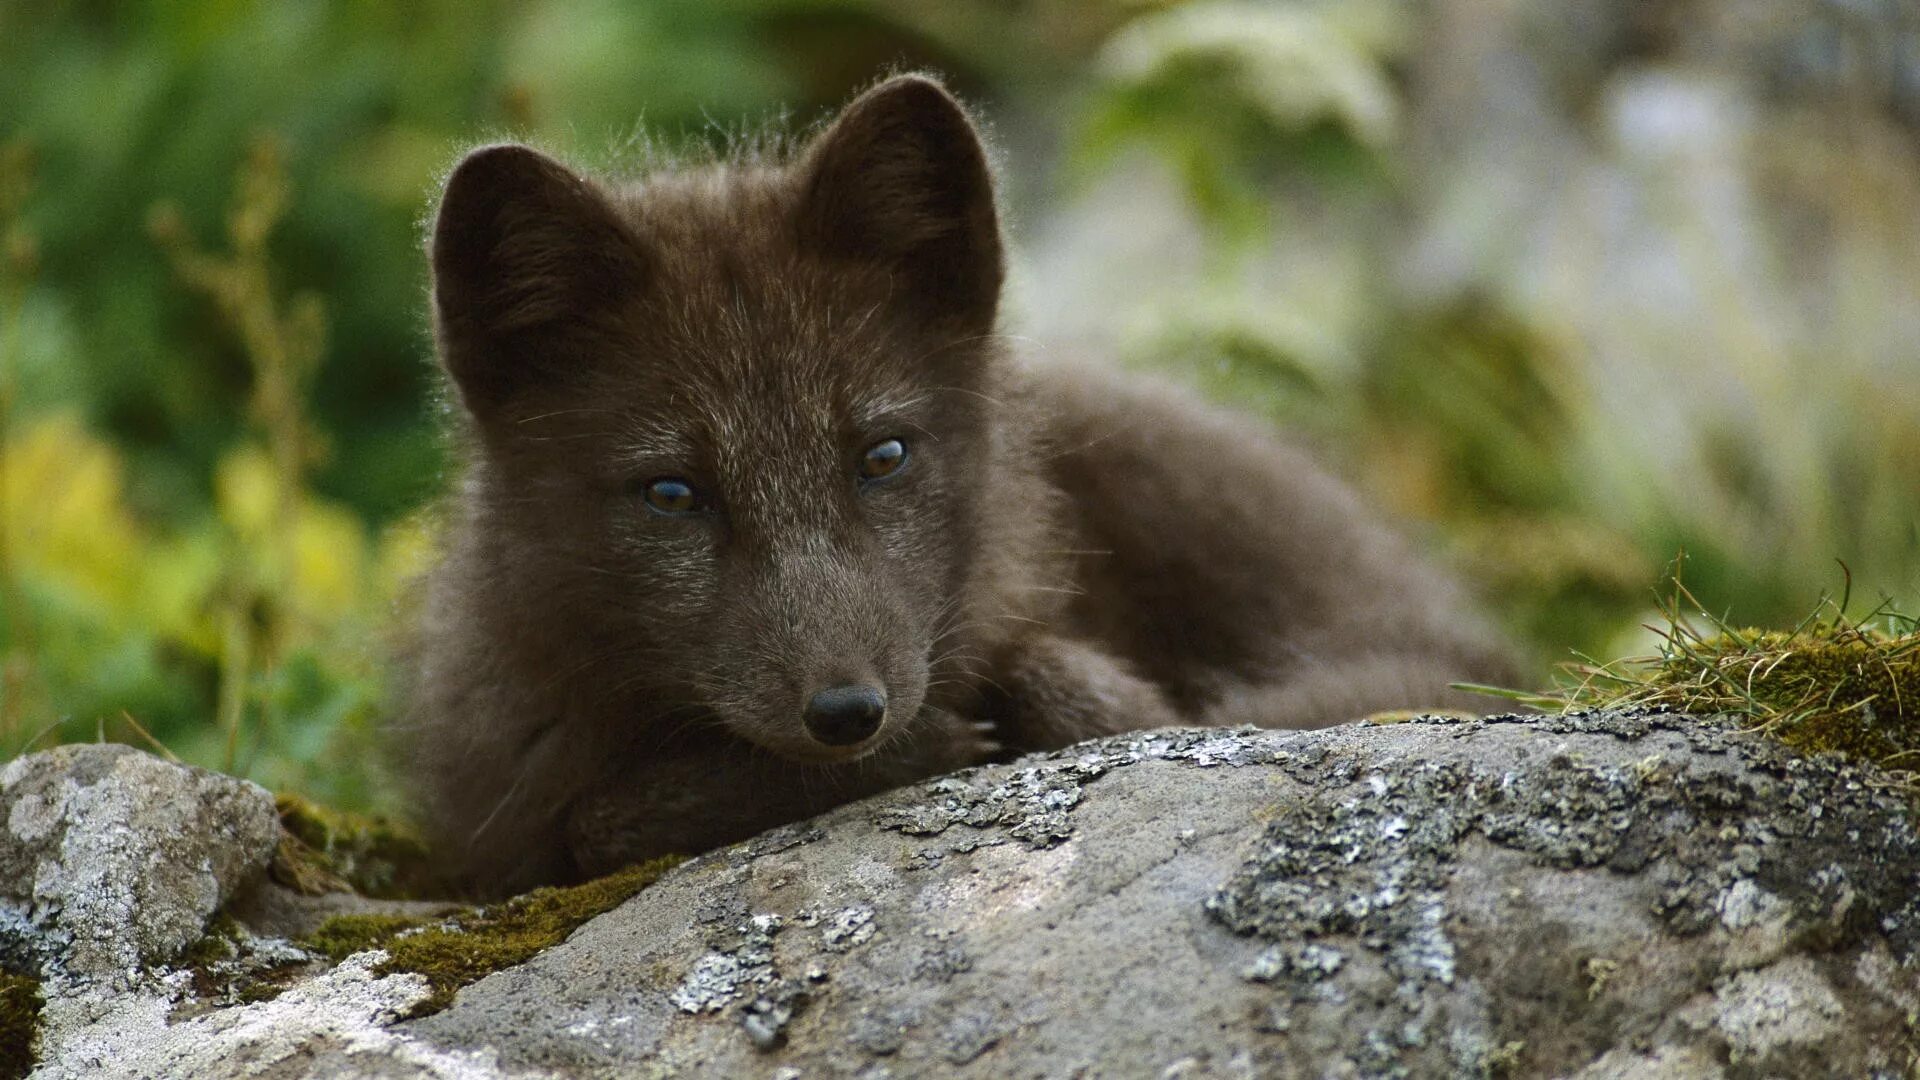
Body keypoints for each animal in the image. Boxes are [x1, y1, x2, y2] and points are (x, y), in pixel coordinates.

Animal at [405, 69, 1512, 891]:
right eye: (672, 494)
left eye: (883, 457)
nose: (847, 712)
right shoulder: (496, 815)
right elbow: (596, 820)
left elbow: (1098, 698)